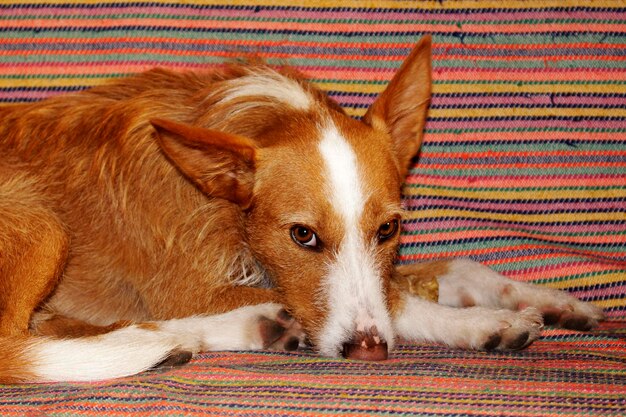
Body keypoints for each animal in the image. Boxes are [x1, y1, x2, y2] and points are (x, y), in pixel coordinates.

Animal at [0, 37, 604, 382]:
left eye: (389, 228)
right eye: (303, 236)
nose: (368, 353)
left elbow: (446, 269)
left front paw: (547, 300)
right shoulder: (190, 289)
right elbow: (398, 303)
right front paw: (480, 324)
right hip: (43, 223)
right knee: (16, 345)